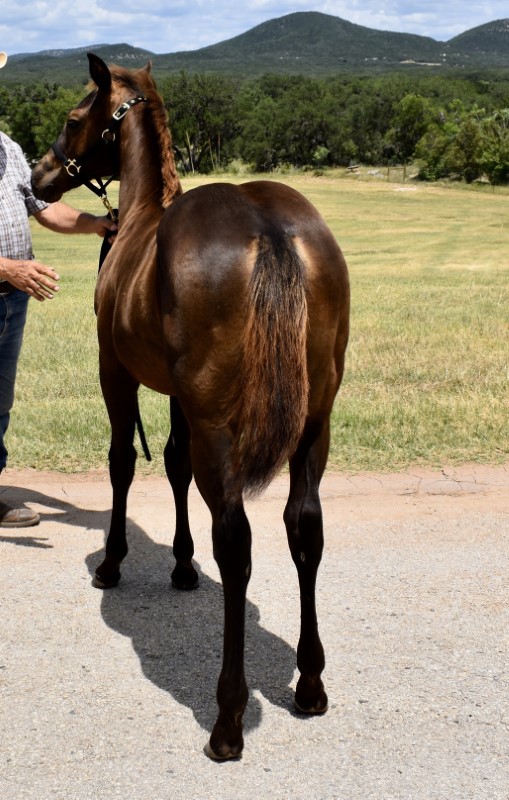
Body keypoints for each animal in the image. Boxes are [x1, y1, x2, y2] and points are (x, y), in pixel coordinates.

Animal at [31, 53, 350, 760]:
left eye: (73, 116)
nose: (38, 176)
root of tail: (270, 230)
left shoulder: (116, 373)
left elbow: (123, 462)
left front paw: (114, 561)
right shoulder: (179, 396)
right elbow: (172, 466)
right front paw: (179, 564)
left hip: (218, 427)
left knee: (236, 541)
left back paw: (227, 719)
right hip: (314, 425)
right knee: (305, 527)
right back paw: (310, 683)